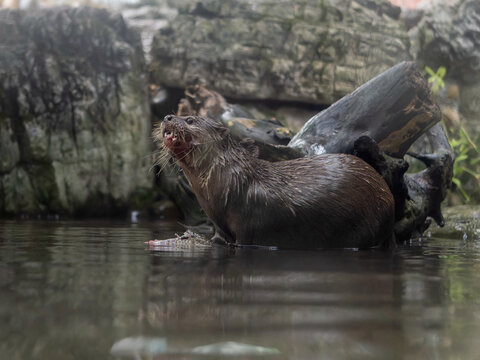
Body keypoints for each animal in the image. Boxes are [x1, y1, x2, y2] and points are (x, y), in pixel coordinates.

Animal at [156, 114, 396, 249]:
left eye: (189, 120)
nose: (168, 117)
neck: (231, 182)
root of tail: (389, 197)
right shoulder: (219, 223)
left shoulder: (248, 222)